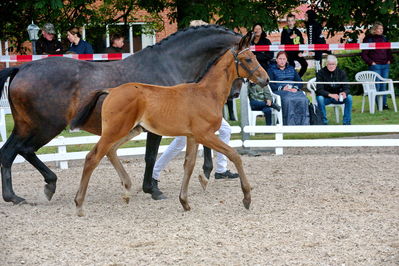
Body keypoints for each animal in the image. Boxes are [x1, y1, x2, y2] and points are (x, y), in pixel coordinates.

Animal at [72, 34, 268, 215]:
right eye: (248, 59)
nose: (265, 79)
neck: (207, 93)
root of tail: (111, 90)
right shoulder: (205, 135)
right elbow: (234, 155)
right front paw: (247, 197)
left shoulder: (192, 137)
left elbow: (189, 165)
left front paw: (184, 201)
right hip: (115, 131)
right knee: (92, 157)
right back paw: (79, 204)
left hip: (130, 130)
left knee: (110, 151)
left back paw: (127, 190)